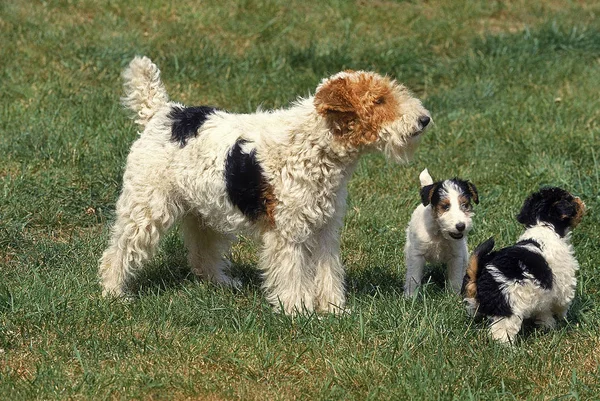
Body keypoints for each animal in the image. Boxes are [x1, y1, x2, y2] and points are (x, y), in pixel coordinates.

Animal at [99, 56, 432, 314]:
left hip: (204, 212)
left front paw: (334, 309)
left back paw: (223, 283)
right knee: (118, 251)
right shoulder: (289, 231)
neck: (315, 144)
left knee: (202, 252)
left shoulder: (325, 228)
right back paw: (113, 292)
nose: (425, 119)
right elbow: (293, 273)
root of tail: (163, 112)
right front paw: (298, 310)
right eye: (379, 100)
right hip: (146, 207)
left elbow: (328, 271)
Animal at [404, 167, 478, 296]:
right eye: (445, 206)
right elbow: (413, 278)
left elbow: (455, 279)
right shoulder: (416, 255)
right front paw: (410, 296)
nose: (461, 226)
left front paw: (454, 296)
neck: (440, 234)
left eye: (464, 205)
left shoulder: (456, 256)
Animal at [464, 186, 584, 342]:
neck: (543, 225)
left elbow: (544, 311)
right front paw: (562, 320)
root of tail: (481, 276)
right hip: (508, 308)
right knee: (501, 330)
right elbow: (562, 304)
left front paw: (547, 326)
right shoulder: (564, 284)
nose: (580, 201)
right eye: (570, 199)